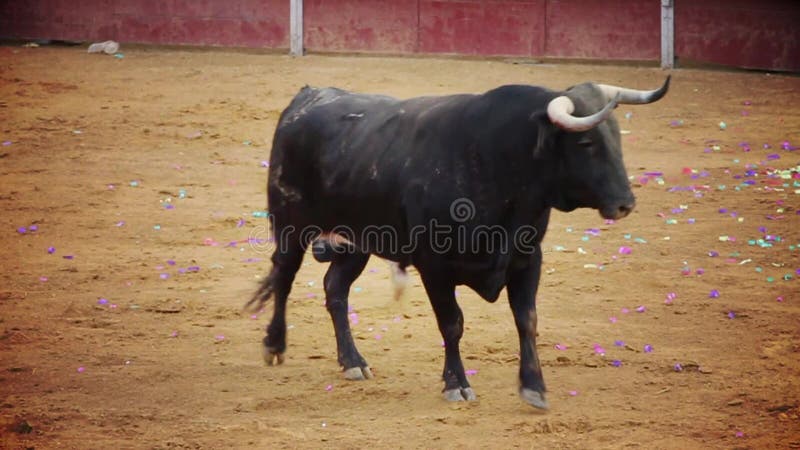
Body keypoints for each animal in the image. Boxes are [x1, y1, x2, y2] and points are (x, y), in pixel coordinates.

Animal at [245, 76, 668, 408]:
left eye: (616, 138)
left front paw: (534, 386)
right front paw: (457, 384)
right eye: (586, 144)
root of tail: (305, 99)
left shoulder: (527, 258)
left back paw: (352, 361)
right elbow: (452, 324)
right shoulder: (435, 267)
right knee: (284, 277)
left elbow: (527, 320)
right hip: (291, 225)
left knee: (335, 287)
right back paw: (274, 345)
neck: (499, 163)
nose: (626, 203)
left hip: (357, 240)